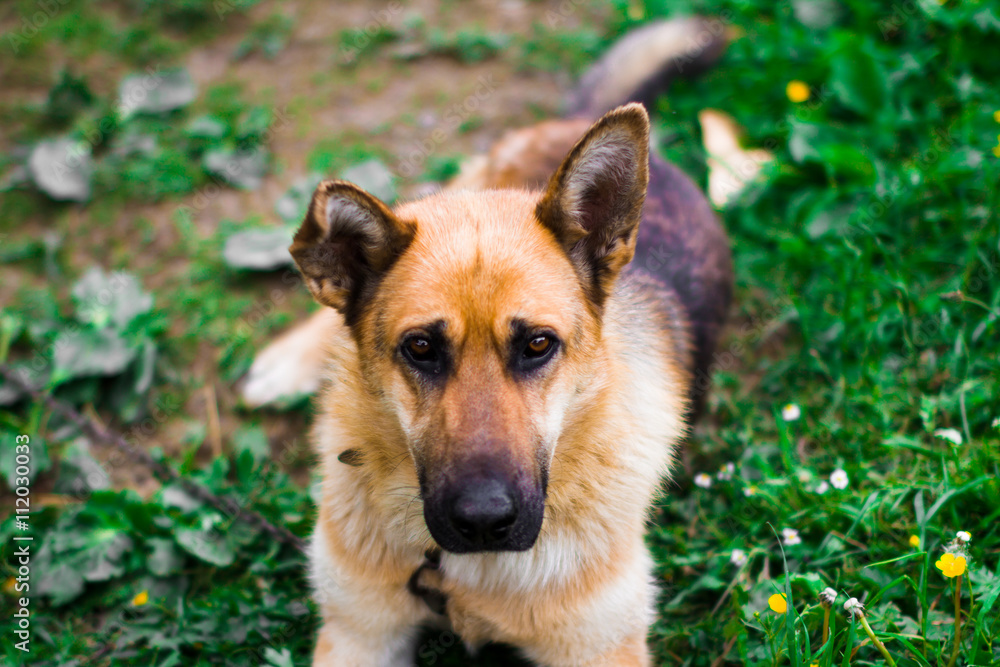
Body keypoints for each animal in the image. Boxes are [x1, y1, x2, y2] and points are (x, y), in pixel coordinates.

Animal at [245, 17, 736, 667]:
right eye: (420, 348)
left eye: (538, 345)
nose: (482, 522)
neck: (460, 575)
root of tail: (571, 122)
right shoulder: (359, 633)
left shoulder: (599, 649)